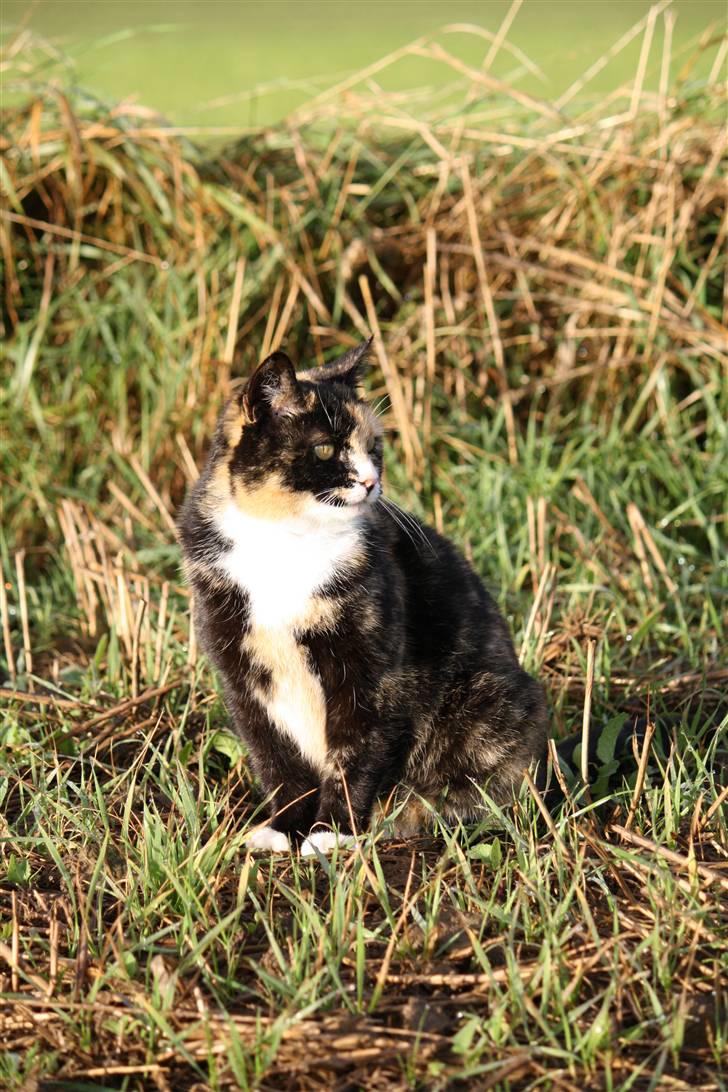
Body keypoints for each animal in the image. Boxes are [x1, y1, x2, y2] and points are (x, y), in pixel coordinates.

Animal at [178, 336, 550, 856]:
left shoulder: (369, 669)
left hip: (493, 697)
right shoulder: (239, 670)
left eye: (374, 446)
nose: (371, 481)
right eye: (324, 447)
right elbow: (274, 758)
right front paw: (283, 828)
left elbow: (355, 749)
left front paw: (331, 831)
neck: (285, 541)